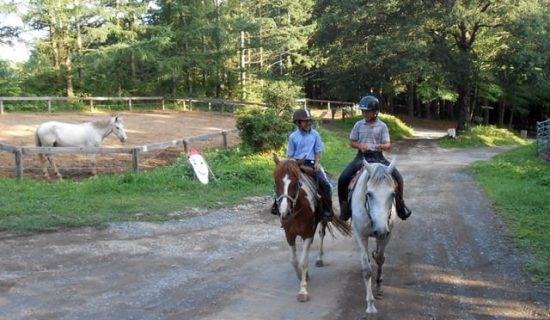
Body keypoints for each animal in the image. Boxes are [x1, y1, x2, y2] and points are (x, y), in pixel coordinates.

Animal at [272, 155, 354, 302]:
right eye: (276, 181)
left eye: (296, 182)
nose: (284, 212)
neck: (297, 208)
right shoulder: (289, 234)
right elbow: (294, 261)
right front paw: (302, 276)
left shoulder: (308, 233)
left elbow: (303, 262)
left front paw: (303, 291)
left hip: (322, 220)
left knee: (321, 234)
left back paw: (319, 259)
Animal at [352, 159, 398, 314]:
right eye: (369, 194)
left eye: (393, 194)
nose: (380, 230)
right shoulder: (360, 236)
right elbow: (366, 270)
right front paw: (370, 304)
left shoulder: (387, 234)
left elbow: (380, 258)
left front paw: (378, 287)